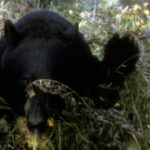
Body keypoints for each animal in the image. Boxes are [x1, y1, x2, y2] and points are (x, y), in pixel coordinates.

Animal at [0, 9, 139, 129]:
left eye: (55, 83)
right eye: (25, 80)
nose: (36, 122)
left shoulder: (83, 64)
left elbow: (102, 92)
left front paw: (123, 47)